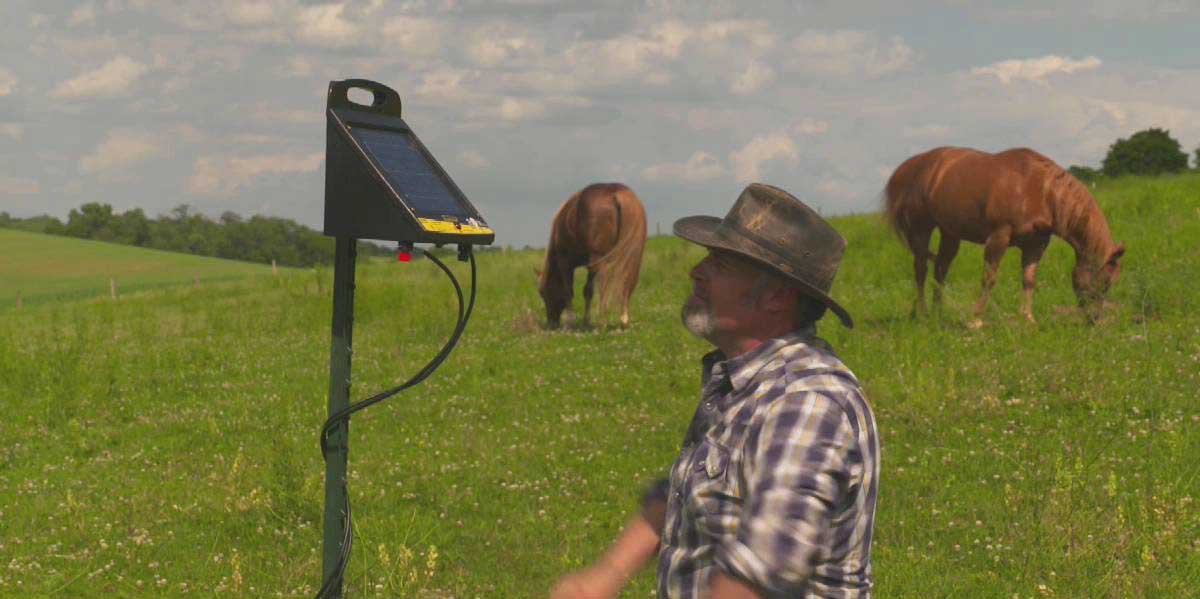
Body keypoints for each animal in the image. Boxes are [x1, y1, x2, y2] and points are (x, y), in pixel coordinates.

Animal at [537, 183, 648, 328]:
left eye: (542, 292)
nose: (551, 324)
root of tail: (617, 194)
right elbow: (588, 291)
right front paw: (586, 321)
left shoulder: (565, 263)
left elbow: (569, 292)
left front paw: (570, 322)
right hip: (629, 257)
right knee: (627, 281)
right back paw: (623, 319)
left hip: (600, 259)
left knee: (605, 284)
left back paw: (602, 320)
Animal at [883, 147, 1123, 326]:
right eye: (1103, 283)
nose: (1094, 319)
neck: (1037, 189)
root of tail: (912, 166)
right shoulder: (999, 237)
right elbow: (989, 278)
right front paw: (976, 319)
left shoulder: (1036, 244)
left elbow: (1029, 279)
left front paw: (1028, 318)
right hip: (921, 229)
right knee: (921, 270)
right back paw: (923, 314)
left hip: (950, 233)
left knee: (940, 269)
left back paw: (938, 313)